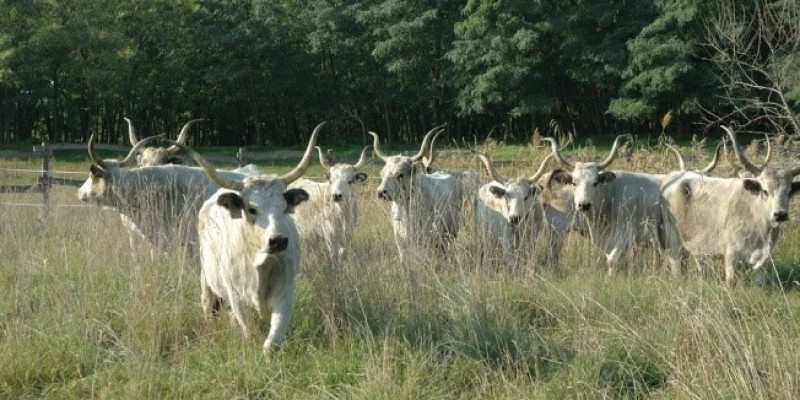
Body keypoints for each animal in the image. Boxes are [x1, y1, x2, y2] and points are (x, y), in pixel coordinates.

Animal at [176, 121, 324, 356]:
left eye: (285, 208)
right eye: (251, 209)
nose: (278, 240)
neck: (260, 263)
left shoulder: (285, 295)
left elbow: (271, 342)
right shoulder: (237, 297)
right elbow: (250, 333)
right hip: (207, 280)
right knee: (208, 306)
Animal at [374, 126, 466, 260]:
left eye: (400, 174)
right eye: (382, 173)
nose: (381, 192)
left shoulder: (426, 240)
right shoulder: (400, 243)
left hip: (452, 230)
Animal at [656, 125, 800, 284]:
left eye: (789, 192)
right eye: (765, 190)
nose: (780, 214)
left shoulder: (763, 262)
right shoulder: (731, 255)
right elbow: (731, 282)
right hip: (674, 243)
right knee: (677, 269)